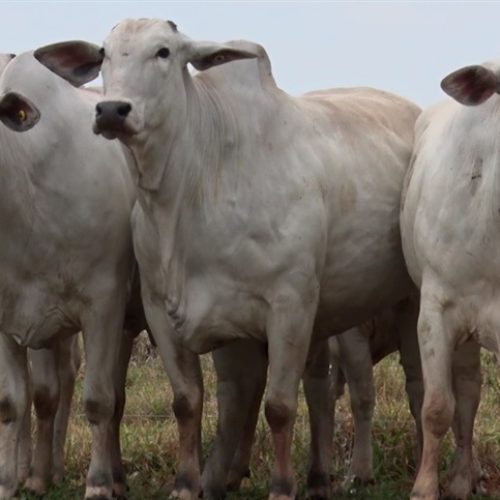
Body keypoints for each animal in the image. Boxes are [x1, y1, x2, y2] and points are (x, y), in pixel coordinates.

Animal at [0, 51, 143, 500]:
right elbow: (14, 402)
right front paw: (11, 481)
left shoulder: (104, 305)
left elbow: (98, 400)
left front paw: (97, 484)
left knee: (111, 396)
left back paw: (112, 476)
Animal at [34, 17, 418, 498]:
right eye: (103, 54)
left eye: (164, 51)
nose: (111, 110)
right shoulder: (163, 314)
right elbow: (188, 403)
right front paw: (185, 484)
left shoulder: (289, 307)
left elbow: (278, 407)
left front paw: (281, 487)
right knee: (319, 390)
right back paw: (316, 479)